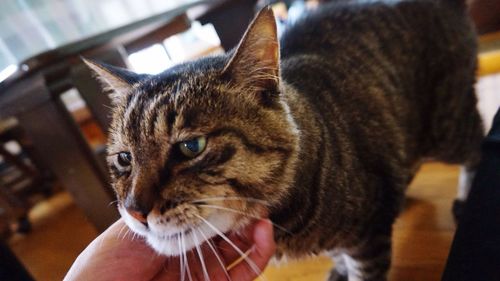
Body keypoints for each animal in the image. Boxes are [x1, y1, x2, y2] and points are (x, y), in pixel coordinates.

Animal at [84, 1, 482, 278]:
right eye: (124, 159)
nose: (135, 210)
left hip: (446, 124)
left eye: (191, 147)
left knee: (477, 139)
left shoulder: (369, 236)